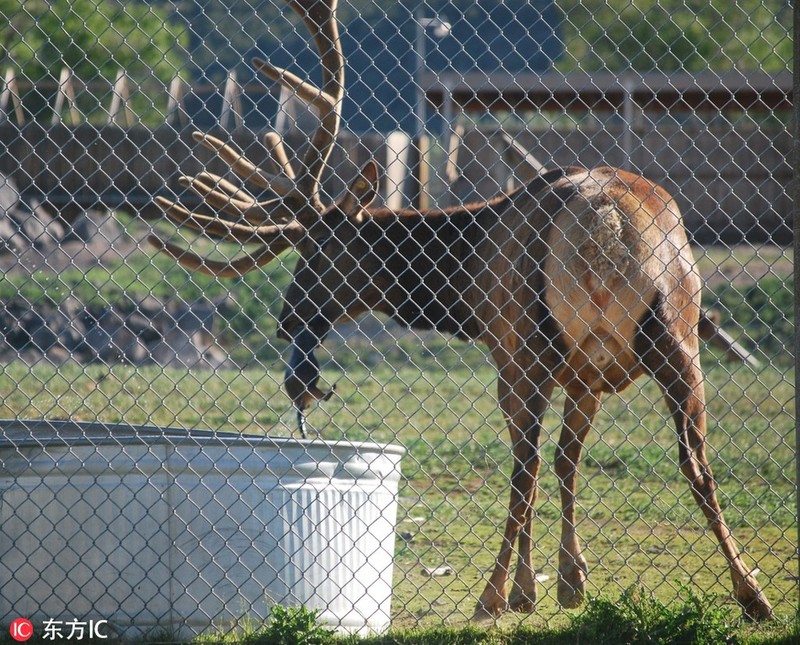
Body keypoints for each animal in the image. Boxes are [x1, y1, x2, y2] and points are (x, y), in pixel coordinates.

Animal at [150, 0, 768, 620]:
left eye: (320, 253)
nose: (287, 321)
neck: (466, 288)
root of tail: (605, 226)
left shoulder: (508, 353)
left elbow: (539, 466)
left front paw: (530, 588)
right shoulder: (586, 376)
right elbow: (567, 463)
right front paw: (571, 580)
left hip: (536, 340)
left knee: (525, 468)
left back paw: (491, 595)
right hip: (677, 332)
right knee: (695, 465)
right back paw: (751, 594)